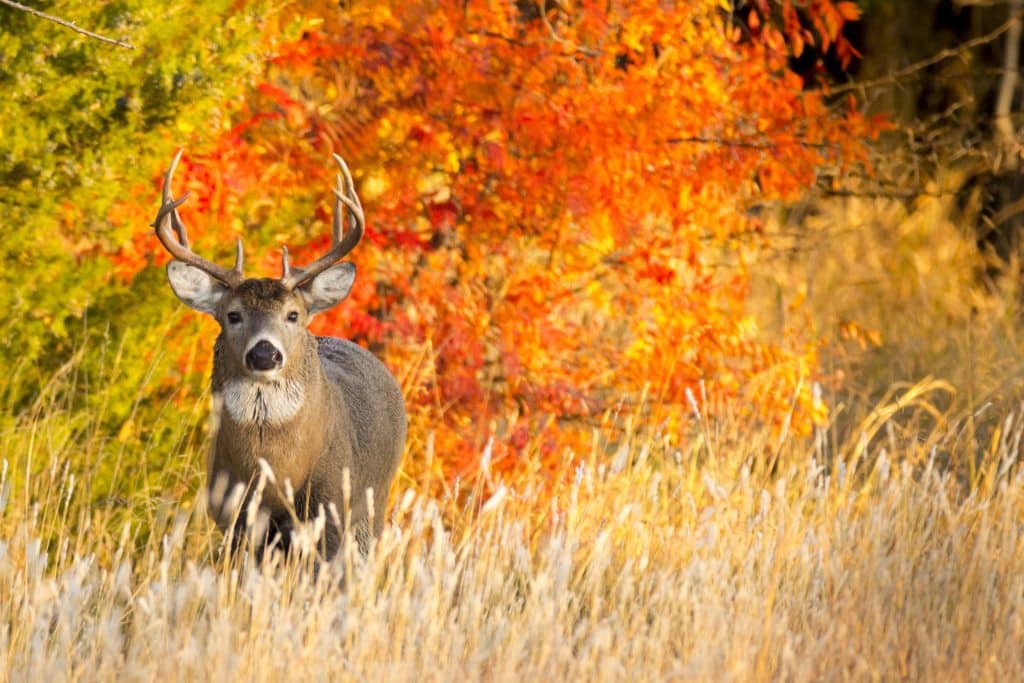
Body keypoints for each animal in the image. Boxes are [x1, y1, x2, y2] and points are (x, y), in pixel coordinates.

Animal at [151, 152, 407, 565]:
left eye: (293, 315)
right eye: (232, 314)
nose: (264, 352)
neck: (273, 473)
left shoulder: (329, 511)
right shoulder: (235, 517)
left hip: (373, 504)